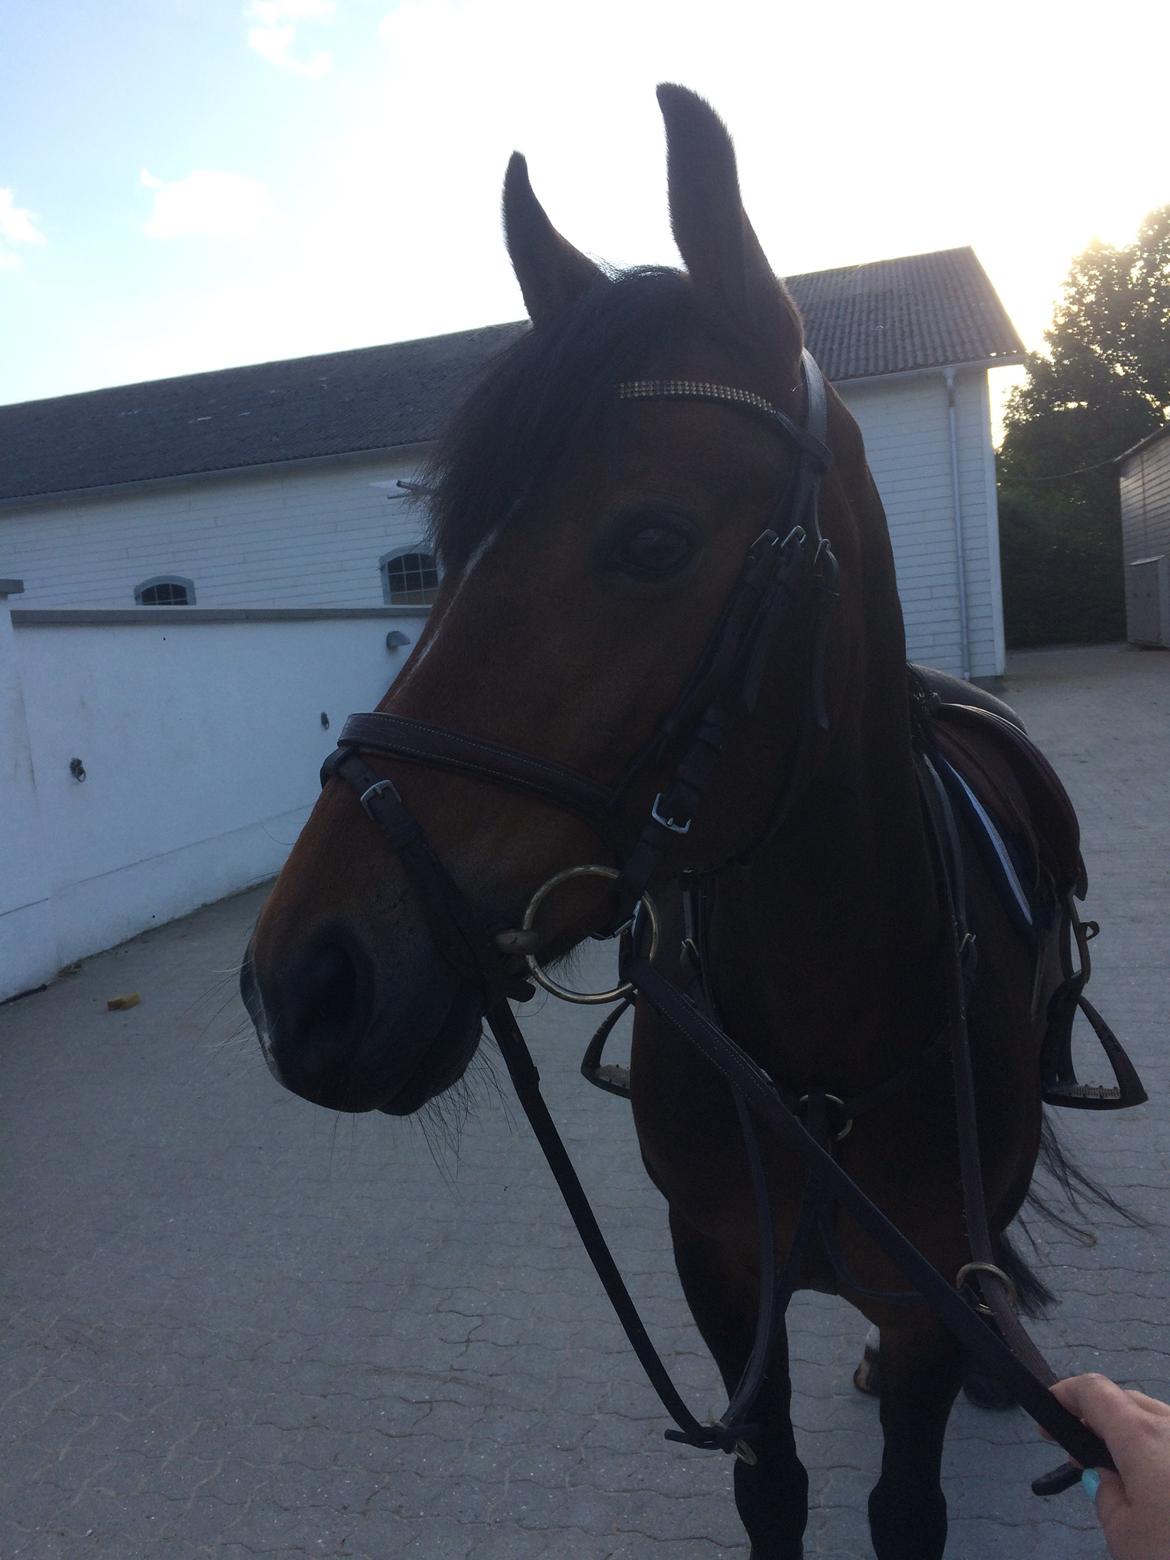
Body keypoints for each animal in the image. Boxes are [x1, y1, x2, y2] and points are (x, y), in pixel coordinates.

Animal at [241, 85, 1132, 1559]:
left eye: (652, 543)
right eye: (448, 553)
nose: (303, 984)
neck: (823, 1056)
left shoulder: (921, 1297)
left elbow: (905, 1501)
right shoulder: (717, 1270)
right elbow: (769, 1487)